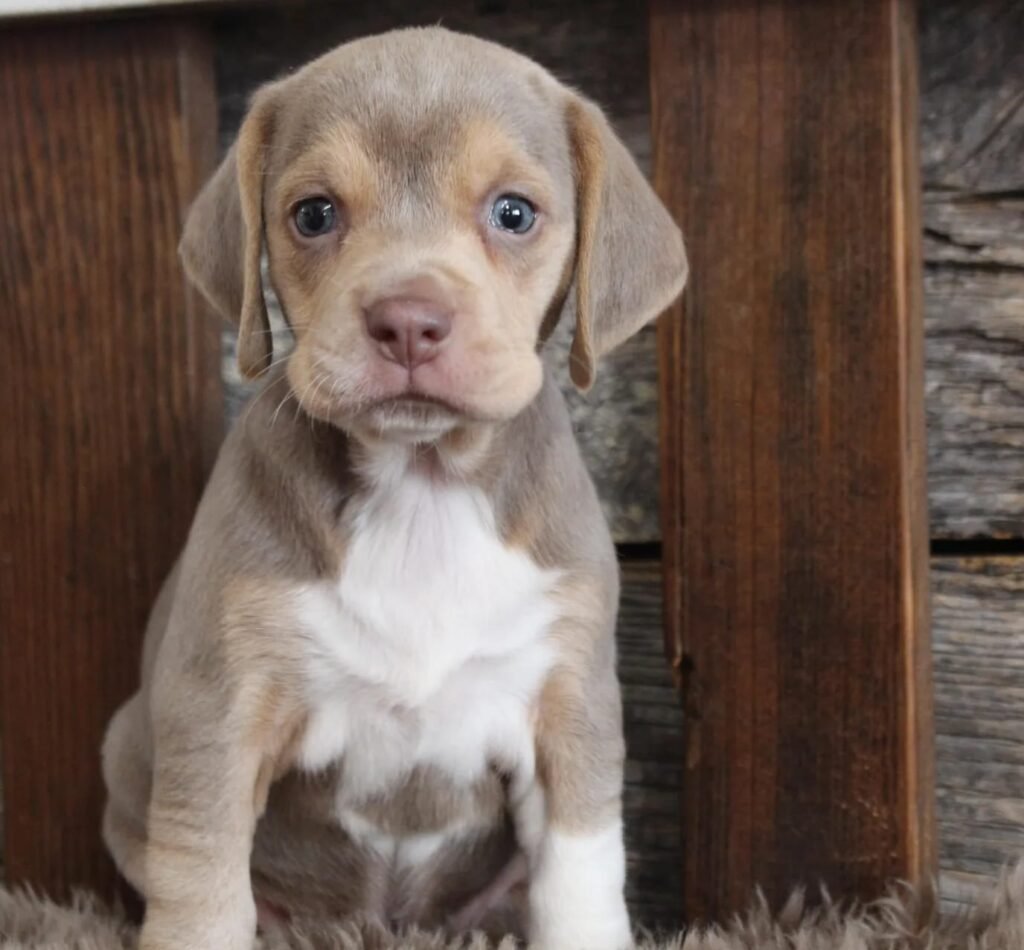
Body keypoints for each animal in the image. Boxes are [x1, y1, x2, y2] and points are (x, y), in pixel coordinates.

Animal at [101, 26, 686, 950]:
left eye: (514, 212)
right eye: (313, 214)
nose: (409, 319)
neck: (422, 486)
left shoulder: (571, 709)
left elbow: (582, 883)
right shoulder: (218, 709)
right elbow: (201, 892)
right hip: (129, 760)